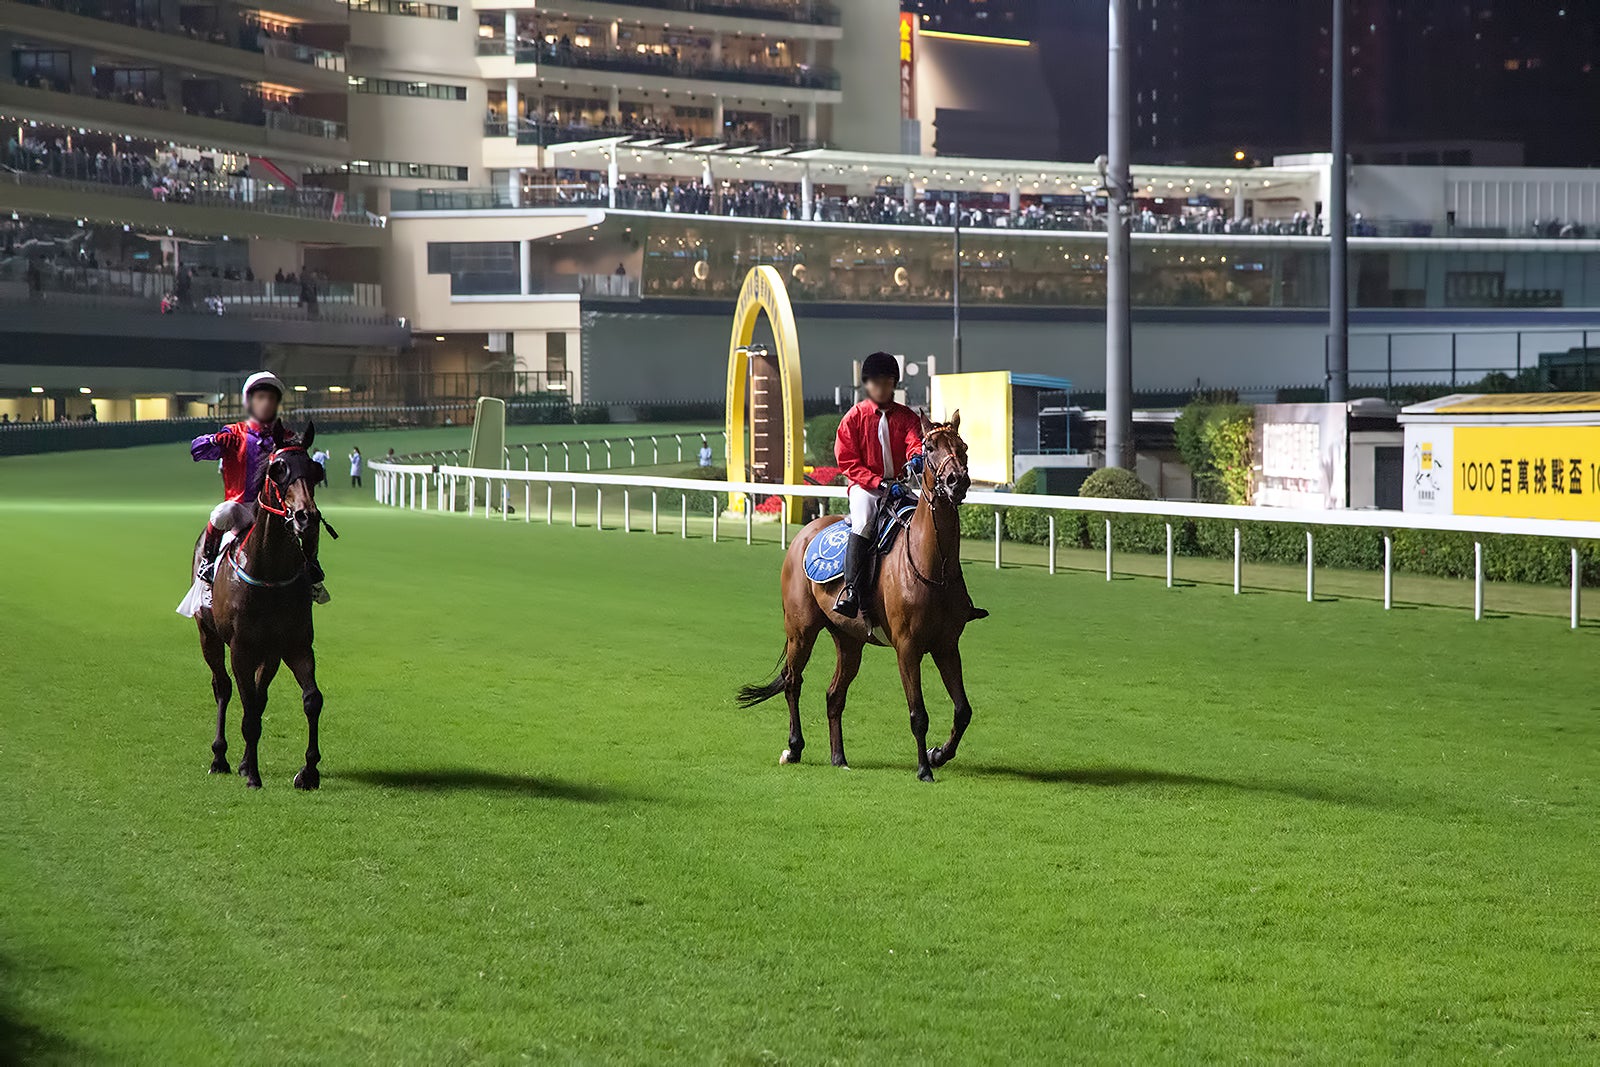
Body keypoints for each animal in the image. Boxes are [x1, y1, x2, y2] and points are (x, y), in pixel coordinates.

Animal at [195, 428, 326, 790]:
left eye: (315, 470)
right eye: (278, 469)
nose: (307, 517)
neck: (269, 571)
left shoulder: (294, 644)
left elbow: (312, 699)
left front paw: (309, 771)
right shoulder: (241, 647)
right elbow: (248, 707)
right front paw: (253, 775)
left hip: (268, 652)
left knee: (258, 694)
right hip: (208, 634)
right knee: (223, 687)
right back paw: (220, 758)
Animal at [736, 412, 972, 780]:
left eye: (962, 446)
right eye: (930, 447)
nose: (956, 481)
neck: (932, 565)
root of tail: (805, 532)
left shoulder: (947, 645)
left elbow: (963, 710)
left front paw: (937, 754)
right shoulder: (907, 647)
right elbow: (918, 714)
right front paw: (923, 769)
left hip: (849, 641)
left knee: (834, 695)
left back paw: (839, 757)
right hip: (801, 631)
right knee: (792, 681)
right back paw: (794, 748)